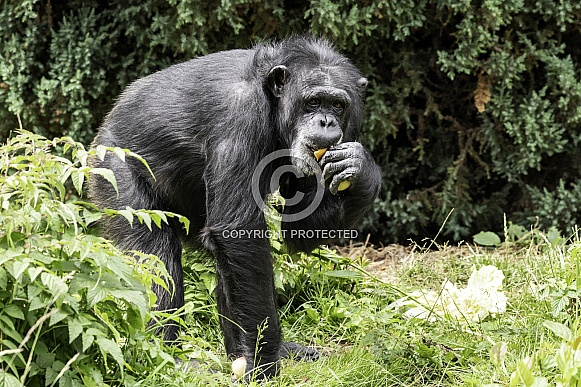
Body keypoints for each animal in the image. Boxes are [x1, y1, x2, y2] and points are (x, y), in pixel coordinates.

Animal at [89, 36, 380, 382]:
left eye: (337, 105)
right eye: (313, 102)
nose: (326, 121)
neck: (271, 101)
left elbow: (297, 230)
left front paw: (361, 169)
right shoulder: (240, 116)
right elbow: (237, 232)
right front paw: (266, 366)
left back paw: (243, 355)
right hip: (114, 169)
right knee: (156, 255)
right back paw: (163, 357)